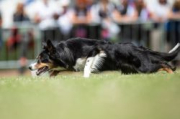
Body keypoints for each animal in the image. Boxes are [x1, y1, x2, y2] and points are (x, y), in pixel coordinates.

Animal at [28, 37, 179, 77]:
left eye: (40, 59)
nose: (29, 67)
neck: (66, 52)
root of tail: (140, 48)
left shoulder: (95, 50)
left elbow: (87, 66)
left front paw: (86, 78)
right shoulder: (70, 66)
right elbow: (56, 70)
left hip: (144, 67)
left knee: (164, 64)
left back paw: (172, 75)